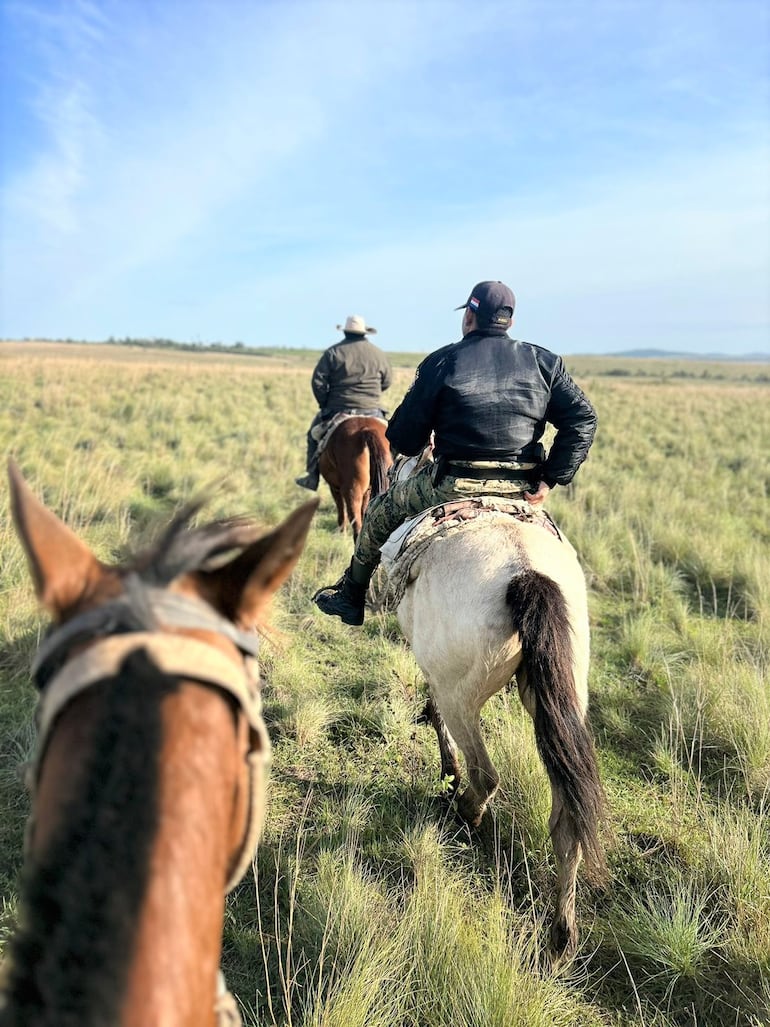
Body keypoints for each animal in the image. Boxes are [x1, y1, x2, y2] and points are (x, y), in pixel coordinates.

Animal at [383, 472, 607, 953]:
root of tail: (526, 575)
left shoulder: (435, 671)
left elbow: (436, 715)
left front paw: (447, 773)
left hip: (462, 696)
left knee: (484, 773)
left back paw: (465, 811)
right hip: (560, 700)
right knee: (567, 821)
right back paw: (562, 933)